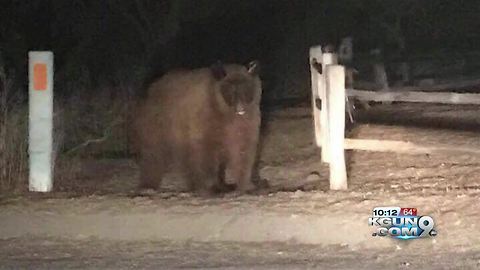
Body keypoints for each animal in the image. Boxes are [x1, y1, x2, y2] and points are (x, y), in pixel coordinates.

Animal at [131, 61, 262, 195]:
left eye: (246, 90)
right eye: (231, 92)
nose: (240, 108)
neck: (226, 112)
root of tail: (152, 88)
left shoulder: (246, 121)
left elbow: (243, 149)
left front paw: (246, 185)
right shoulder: (206, 117)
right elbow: (206, 150)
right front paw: (210, 185)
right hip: (160, 124)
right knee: (154, 153)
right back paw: (148, 185)